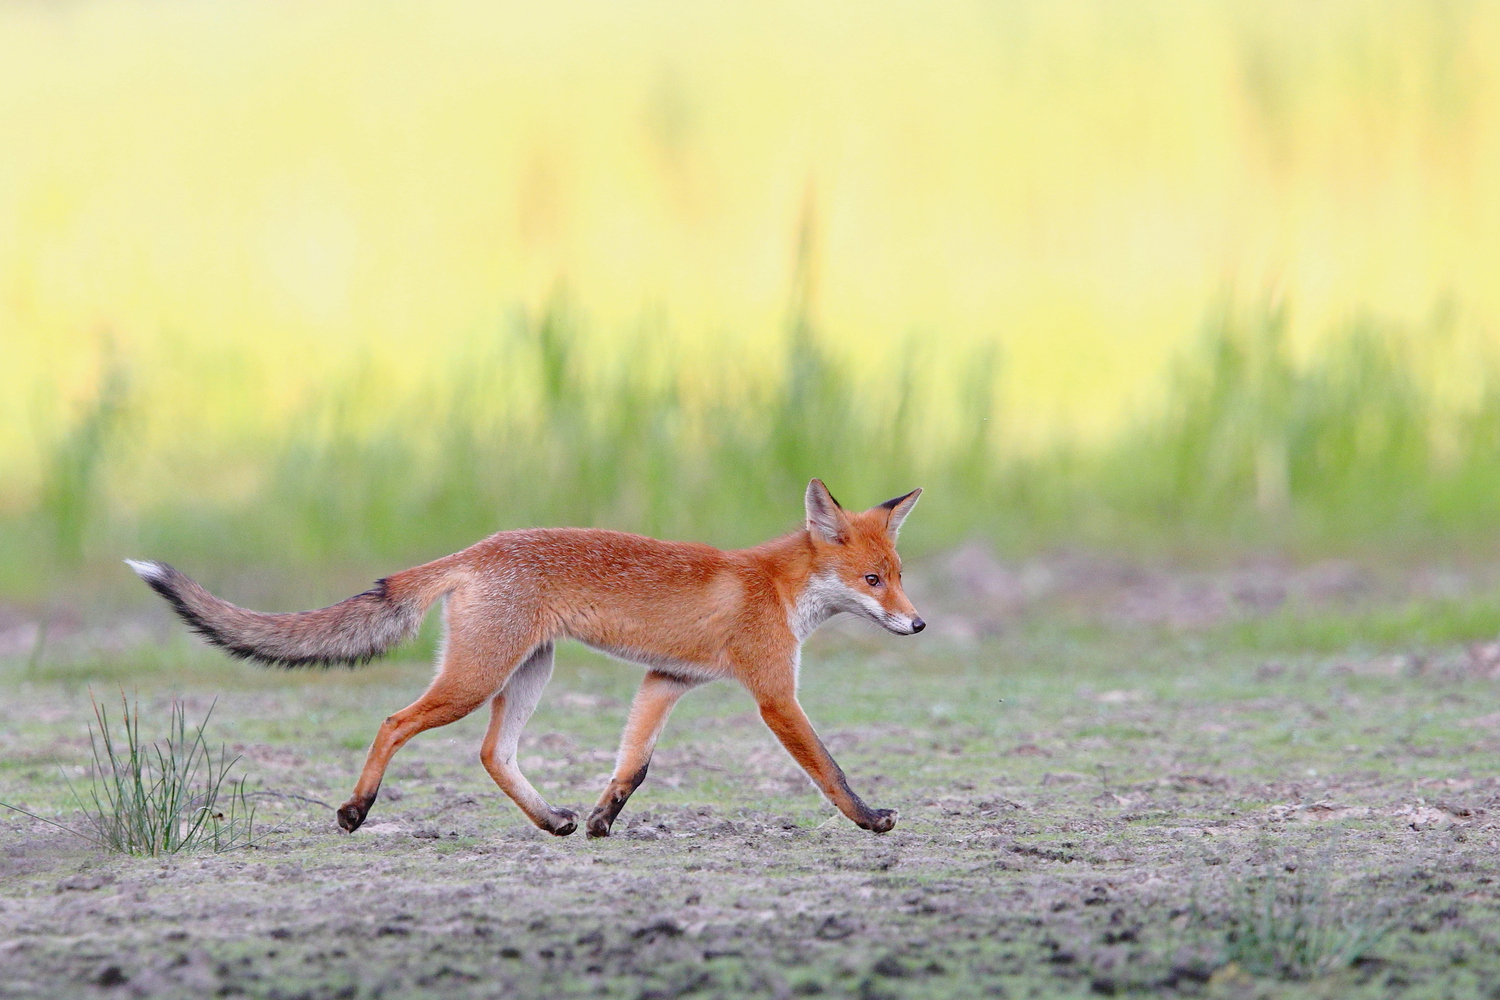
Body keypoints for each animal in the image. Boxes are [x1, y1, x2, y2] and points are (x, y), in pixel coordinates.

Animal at [126, 479, 924, 839]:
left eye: (899, 573)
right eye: (872, 580)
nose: (918, 623)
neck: (777, 587)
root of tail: (478, 547)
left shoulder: (666, 680)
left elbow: (633, 765)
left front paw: (602, 820)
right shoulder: (773, 694)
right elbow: (828, 767)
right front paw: (870, 819)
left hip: (530, 673)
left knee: (492, 754)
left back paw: (550, 821)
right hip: (474, 681)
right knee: (393, 721)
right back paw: (356, 809)